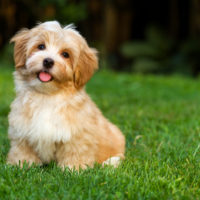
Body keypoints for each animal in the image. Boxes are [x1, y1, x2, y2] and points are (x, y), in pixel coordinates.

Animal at [6, 21, 125, 170]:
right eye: (41, 46)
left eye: (65, 54)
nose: (48, 61)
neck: (47, 95)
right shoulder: (22, 131)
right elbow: (22, 150)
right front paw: (21, 164)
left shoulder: (77, 135)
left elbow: (75, 151)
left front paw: (73, 169)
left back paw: (110, 162)